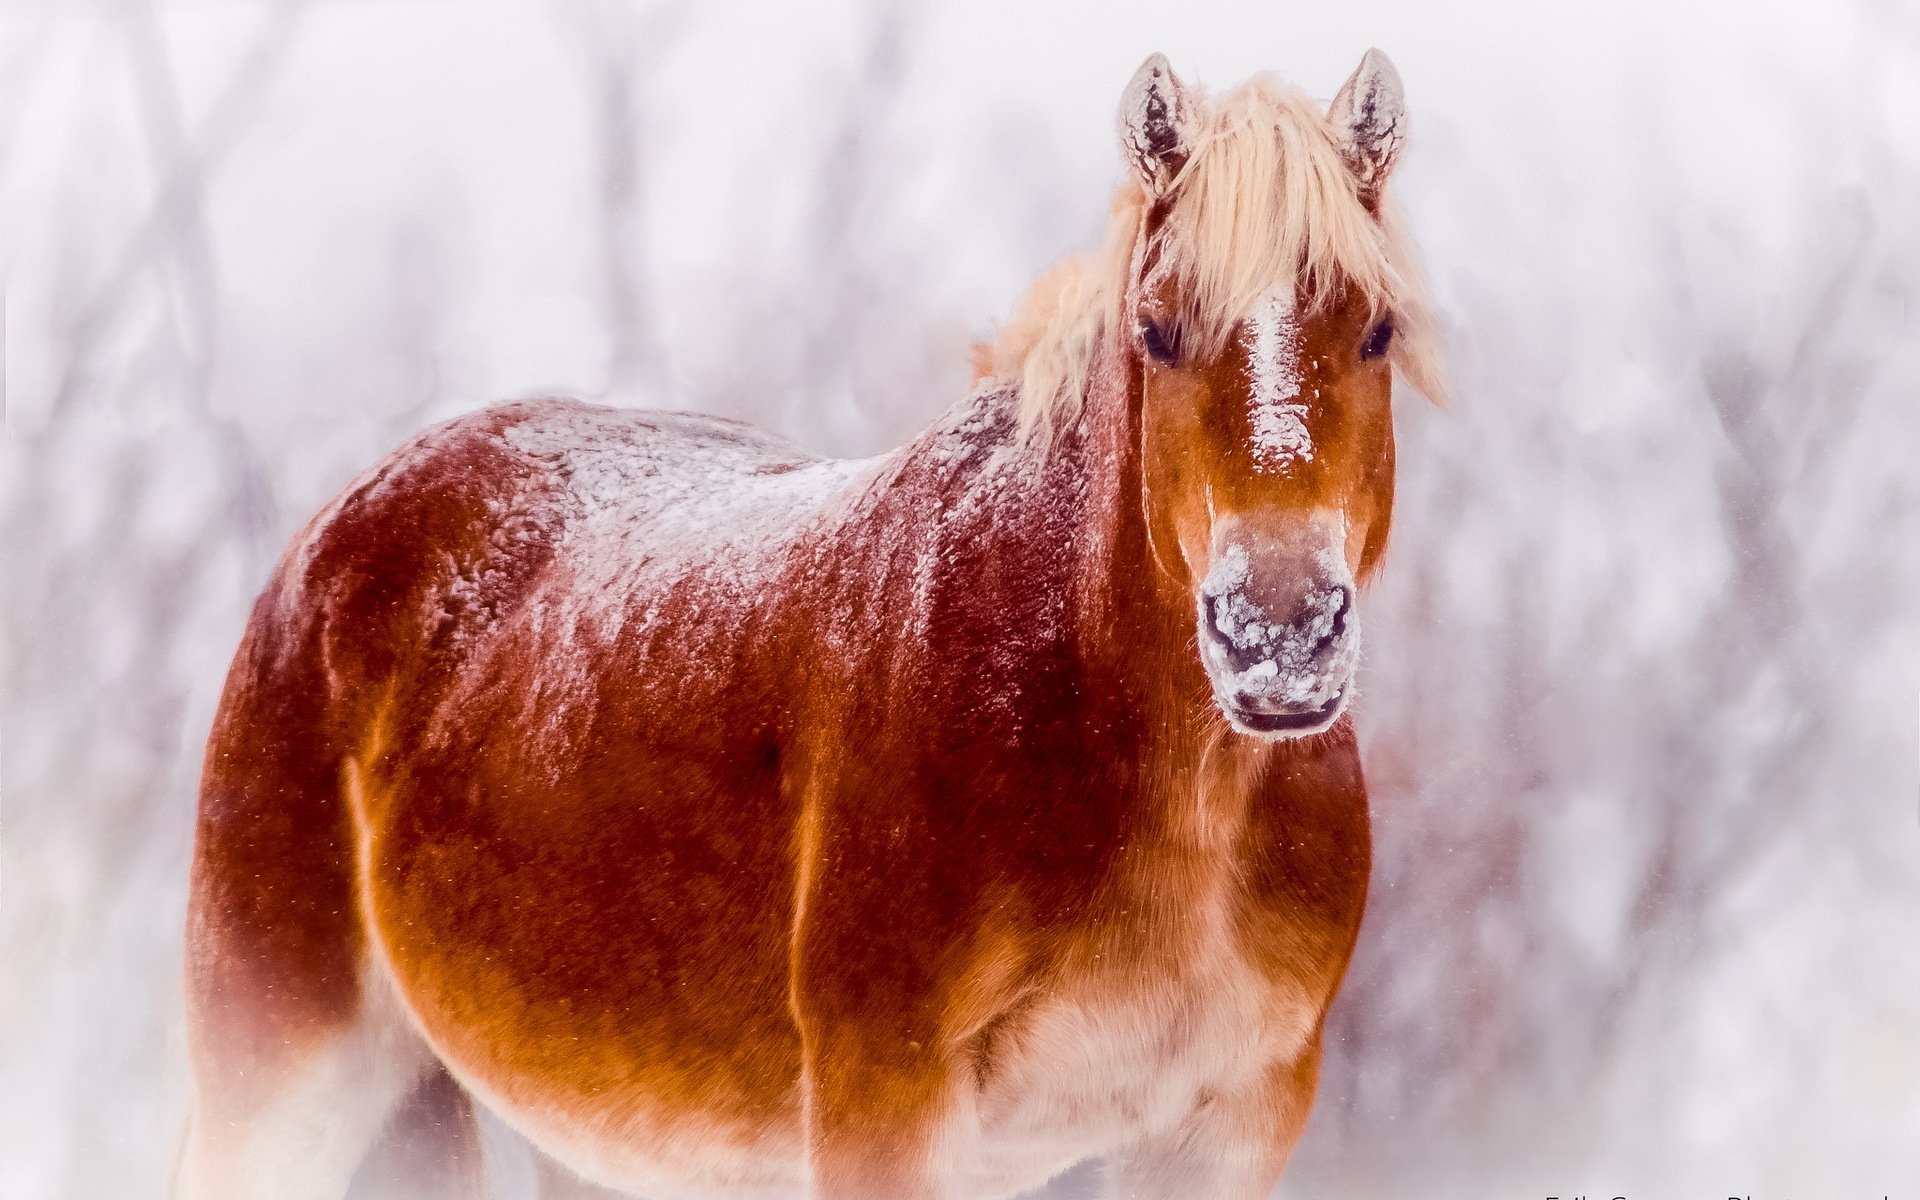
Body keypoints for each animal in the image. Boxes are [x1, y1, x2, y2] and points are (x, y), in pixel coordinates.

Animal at [180, 49, 1443, 1200]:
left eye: (1376, 330)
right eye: (1158, 330)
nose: (1278, 633)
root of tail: (335, 533)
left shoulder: (1227, 1121)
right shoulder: (886, 1101)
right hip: (283, 1075)